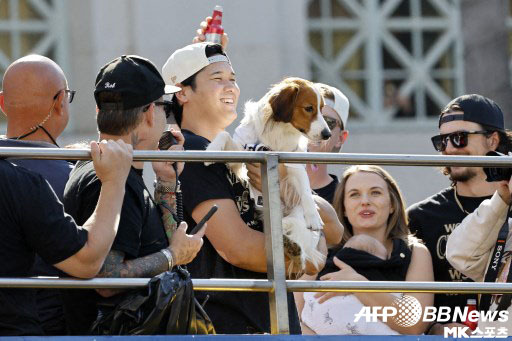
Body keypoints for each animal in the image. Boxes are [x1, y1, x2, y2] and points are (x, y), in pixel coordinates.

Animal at [207, 77, 332, 274]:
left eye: (321, 108)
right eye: (309, 108)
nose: (328, 134)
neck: (279, 130)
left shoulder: (294, 164)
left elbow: (305, 192)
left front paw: (314, 217)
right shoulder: (240, 158)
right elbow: (224, 134)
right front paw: (212, 148)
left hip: (296, 212)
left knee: (295, 229)